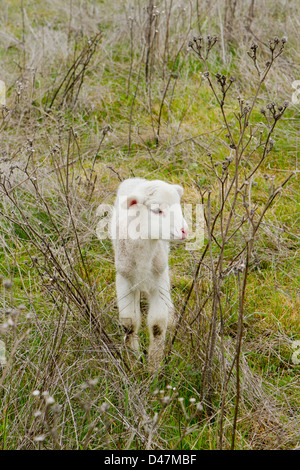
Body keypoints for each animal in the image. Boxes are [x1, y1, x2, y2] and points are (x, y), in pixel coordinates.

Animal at [110, 177, 189, 370]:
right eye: (157, 210)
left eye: (179, 206)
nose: (184, 231)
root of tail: (138, 179)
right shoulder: (123, 280)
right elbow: (129, 324)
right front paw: (133, 362)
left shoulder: (159, 280)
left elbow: (157, 326)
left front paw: (154, 366)